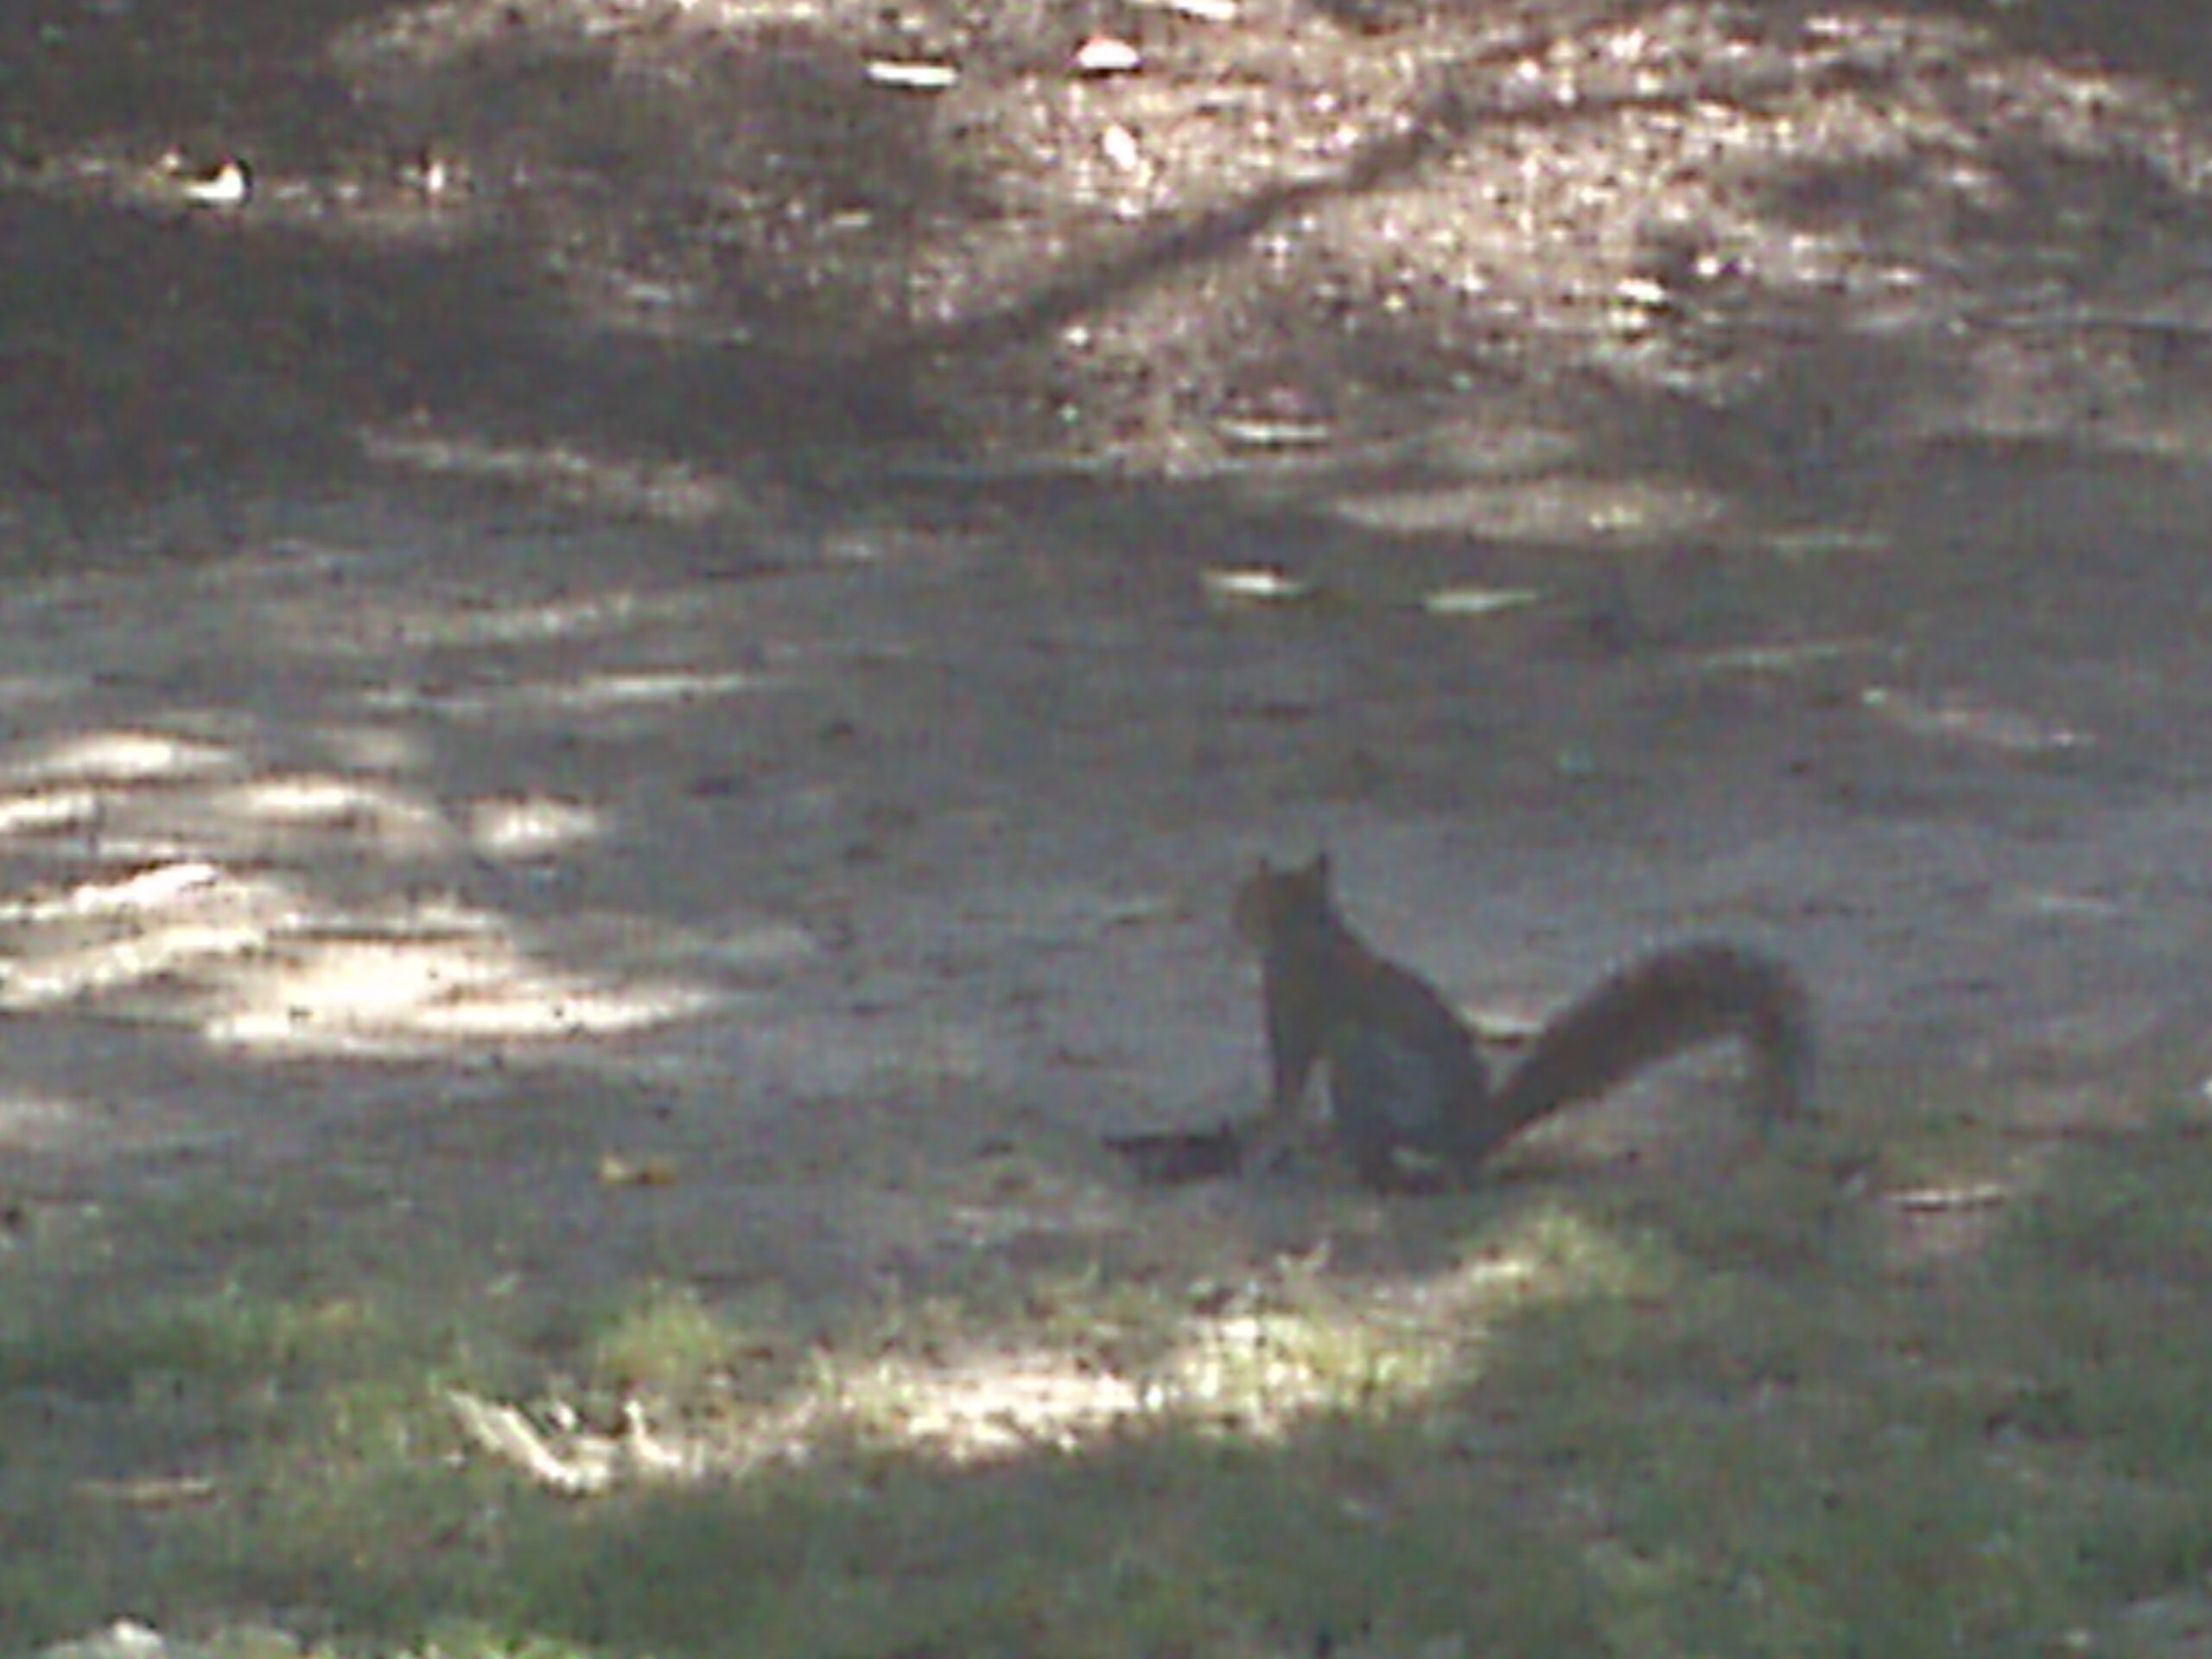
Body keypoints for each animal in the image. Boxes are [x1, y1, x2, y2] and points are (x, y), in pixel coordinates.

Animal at [1232, 852, 1813, 1189]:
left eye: (1247, 899)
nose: (1234, 922)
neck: (1310, 930)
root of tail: (1473, 1130)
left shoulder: (1292, 1017)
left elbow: (1285, 1095)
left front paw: (1262, 1153)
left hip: (1367, 1062)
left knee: (1395, 1160)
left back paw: (1364, 1166)